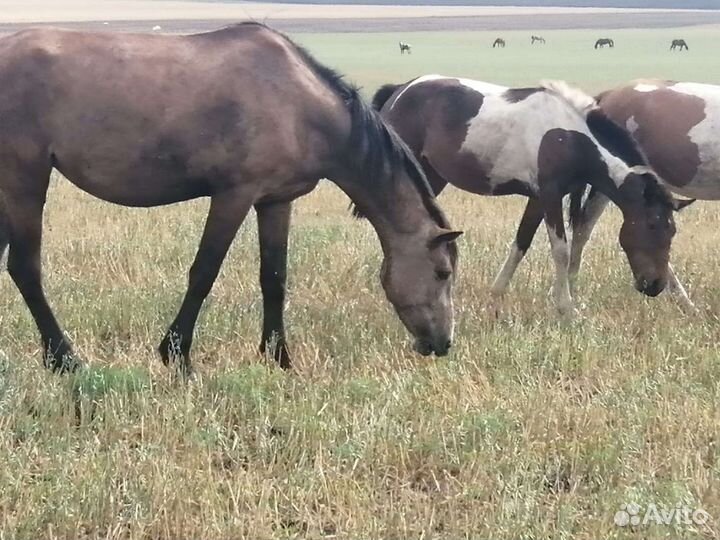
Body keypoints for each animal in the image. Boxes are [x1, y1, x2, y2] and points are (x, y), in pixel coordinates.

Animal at [0, 24, 462, 374]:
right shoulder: (234, 195)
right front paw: (177, 355)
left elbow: (274, 278)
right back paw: (65, 358)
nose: (442, 343)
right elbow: (204, 272)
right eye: (442, 273)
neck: (300, 103)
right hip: (25, 180)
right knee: (25, 268)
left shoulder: (275, 201)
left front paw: (279, 357)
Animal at [372, 75, 691, 316]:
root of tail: (400, 90)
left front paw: (495, 296)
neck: (570, 137)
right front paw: (566, 309)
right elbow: (561, 251)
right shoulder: (550, 195)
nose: (655, 285)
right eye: (652, 225)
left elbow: (521, 243)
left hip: (432, 176)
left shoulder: (538, 199)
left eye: (672, 231)